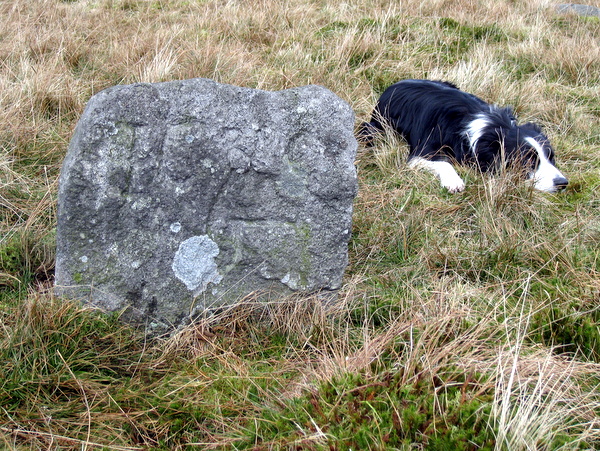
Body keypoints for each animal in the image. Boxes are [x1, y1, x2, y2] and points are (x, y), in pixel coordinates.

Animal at [360, 79, 568, 192]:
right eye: (527, 161)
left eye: (552, 157)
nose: (563, 183)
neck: (492, 128)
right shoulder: (421, 151)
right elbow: (444, 162)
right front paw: (454, 182)